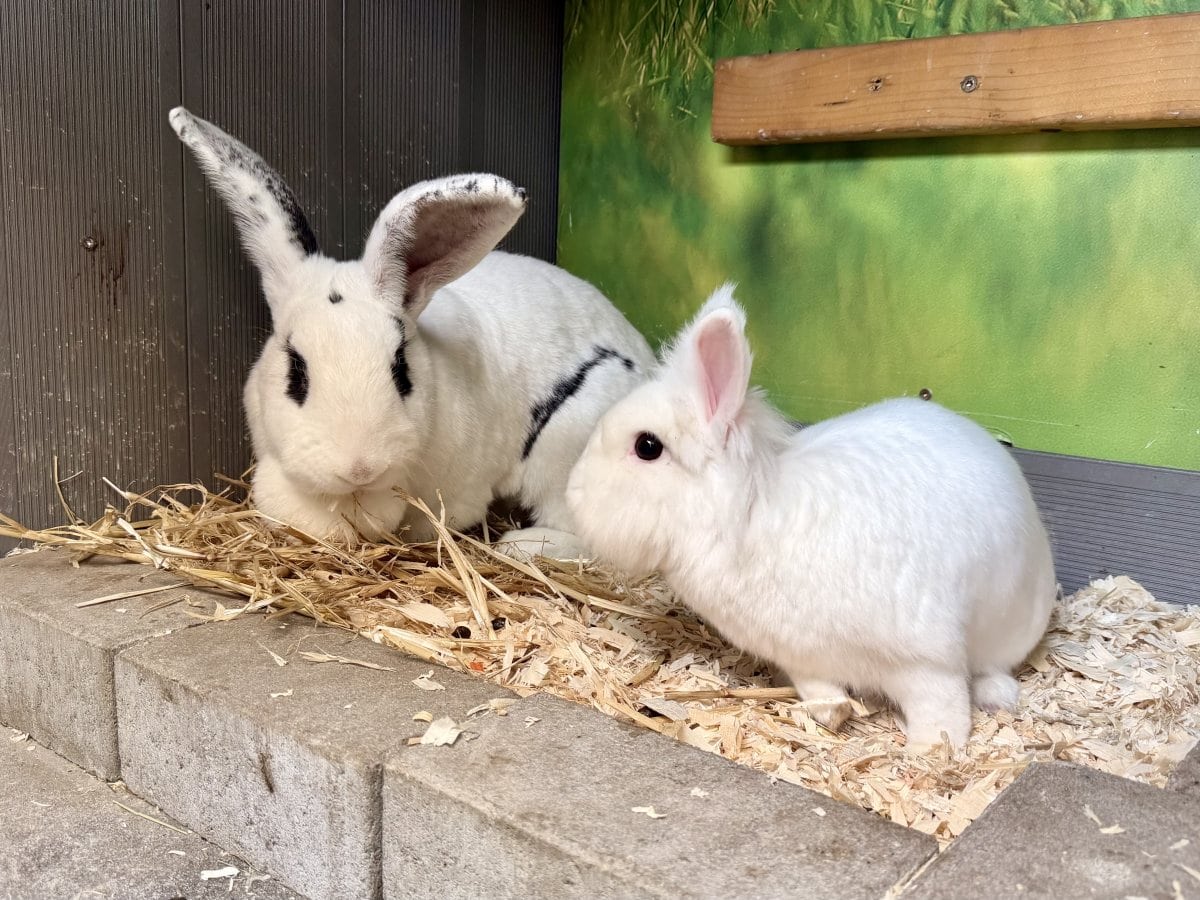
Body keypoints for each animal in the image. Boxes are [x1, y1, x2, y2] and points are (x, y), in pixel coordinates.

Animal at [566, 284, 1056, 751]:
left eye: (647, 446)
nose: (572, 493)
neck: (749, 518)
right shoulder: (802, 657)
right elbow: (818, 688)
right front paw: (831, 714)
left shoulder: (928, 660)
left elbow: (942, 709)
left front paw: (930, 752)